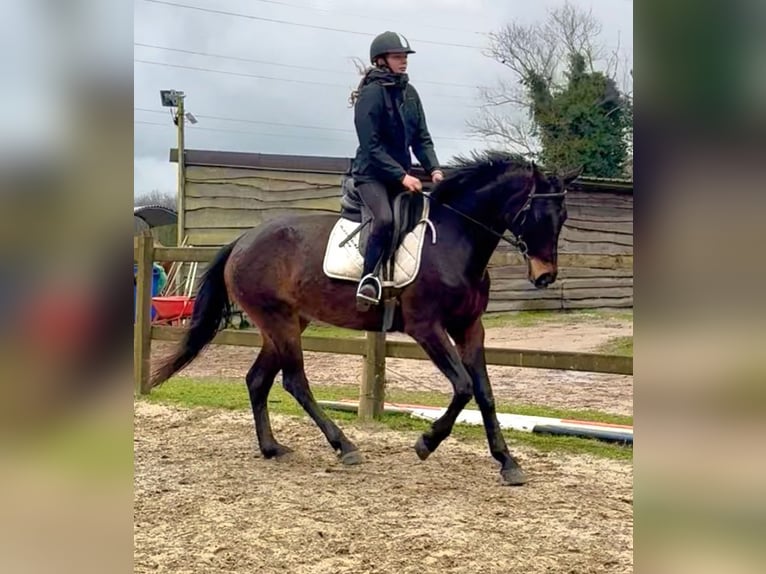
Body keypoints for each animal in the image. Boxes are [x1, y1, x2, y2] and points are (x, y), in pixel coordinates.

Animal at [152, 151, 577, 486]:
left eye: (562, 216)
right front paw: (426, 443)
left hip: (286, 324)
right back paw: (344, 446)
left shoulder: (470, 327)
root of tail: (242, 240)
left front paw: (507, 462)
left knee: (258, 380)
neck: (455, 240)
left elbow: (485, 393)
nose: (545, 276)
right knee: (295, 382)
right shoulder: (427, 328)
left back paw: (272, 448)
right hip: (280, 323)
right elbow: (463, 387)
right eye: (537, 213)